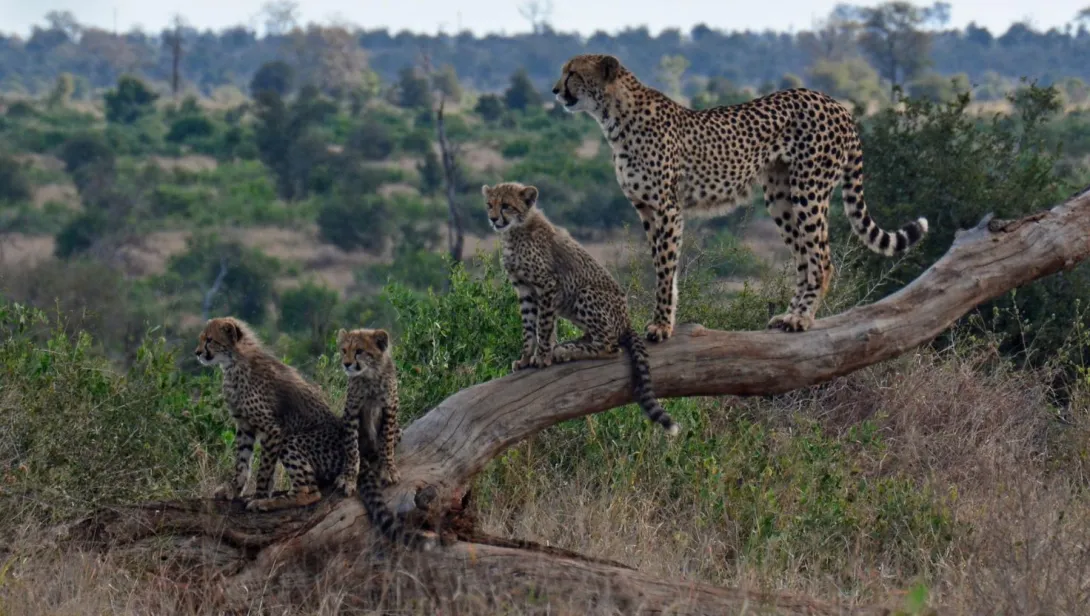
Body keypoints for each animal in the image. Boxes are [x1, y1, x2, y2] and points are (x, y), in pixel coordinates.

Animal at [486, 179, 680, 433]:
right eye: (490, 204)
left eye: (506, 206)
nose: (492, 219)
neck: (516, 230)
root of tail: (627, 320)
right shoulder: (525, 291)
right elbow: (530, 328)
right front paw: (526, 358)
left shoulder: (548, 285)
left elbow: (543, 325)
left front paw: (542, 357)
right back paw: (569, 345)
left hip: (584, 294)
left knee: (610, 346)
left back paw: (567, 351)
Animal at [553, 55, 928, 337]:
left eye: (573, 72)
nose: (556, 91)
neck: (614, 116)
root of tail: (836, 103)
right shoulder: (646, 209)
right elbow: (663, 266)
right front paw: (664, 318)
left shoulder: (667, 209)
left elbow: (664, 268)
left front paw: (661, 326)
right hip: (781, 198)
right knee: (805, 260)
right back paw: (788, 315)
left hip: (809, 191)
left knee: (822, 259)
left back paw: (802, 318)